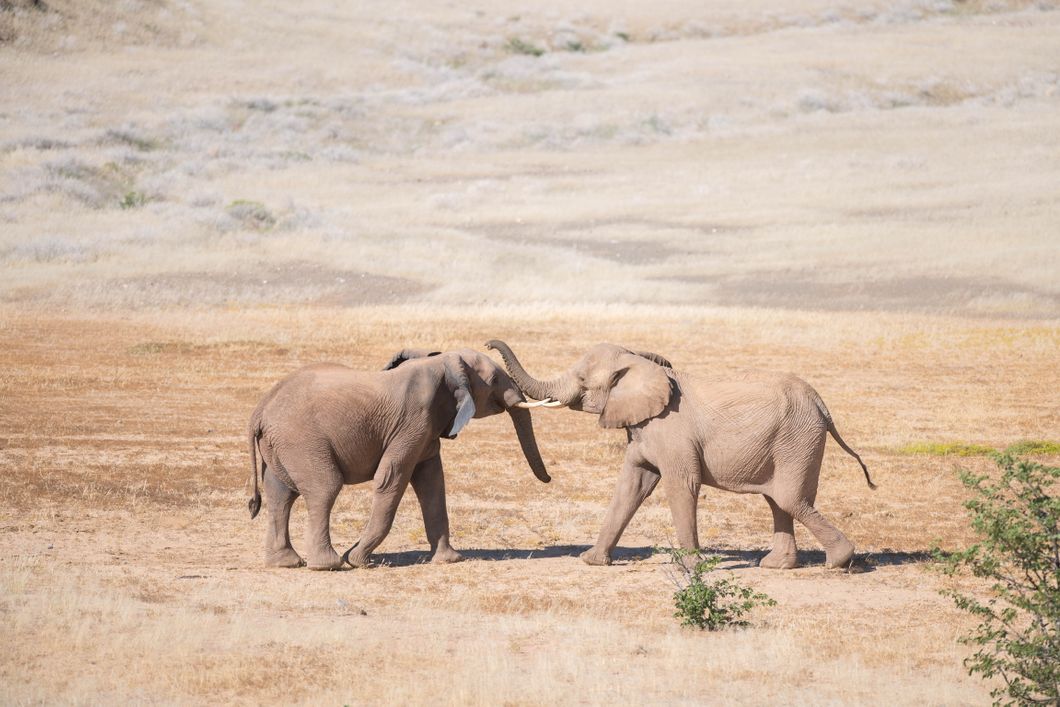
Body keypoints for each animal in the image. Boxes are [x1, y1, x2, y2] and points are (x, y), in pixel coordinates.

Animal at [246, 347, 551, 570]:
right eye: (495, 380)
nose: (548, 479)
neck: (442, 363)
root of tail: (260, 409)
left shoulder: (427, 429)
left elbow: (432, 484)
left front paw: (450, 560)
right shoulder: (412, 422)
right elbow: (392, 477)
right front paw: (357, 560)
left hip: (281, 446)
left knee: (280, 493)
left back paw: (286, 563)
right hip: (301, 440)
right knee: (325, 488)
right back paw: (328, 565)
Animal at [485, 340, 875, 569]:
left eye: (582, 380)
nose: (489, 344)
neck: (641, 365)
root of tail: (823, 407)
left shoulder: (671, 430)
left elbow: (681, 485)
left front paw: (688, 567)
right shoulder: (644, 429)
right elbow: (632, 486)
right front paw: (592, 561)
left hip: (798, 439)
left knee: (790, 498)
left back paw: (837, 563)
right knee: (778, 500)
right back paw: (776, 566)